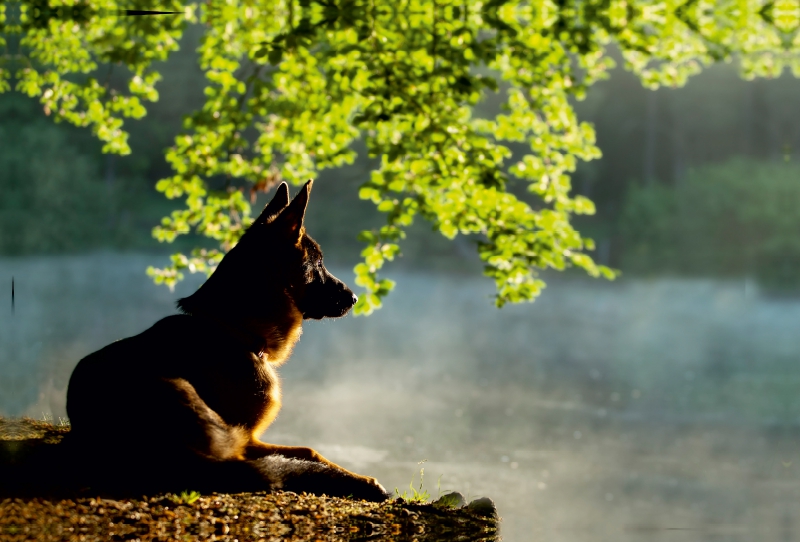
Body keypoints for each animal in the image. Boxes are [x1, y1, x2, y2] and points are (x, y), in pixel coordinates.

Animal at [56, 181, 388, 504]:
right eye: (317, 263)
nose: (354, 298)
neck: (234, 329)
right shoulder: (249, 436)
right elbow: (308, 450)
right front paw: (361, 480)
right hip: (184, 392)